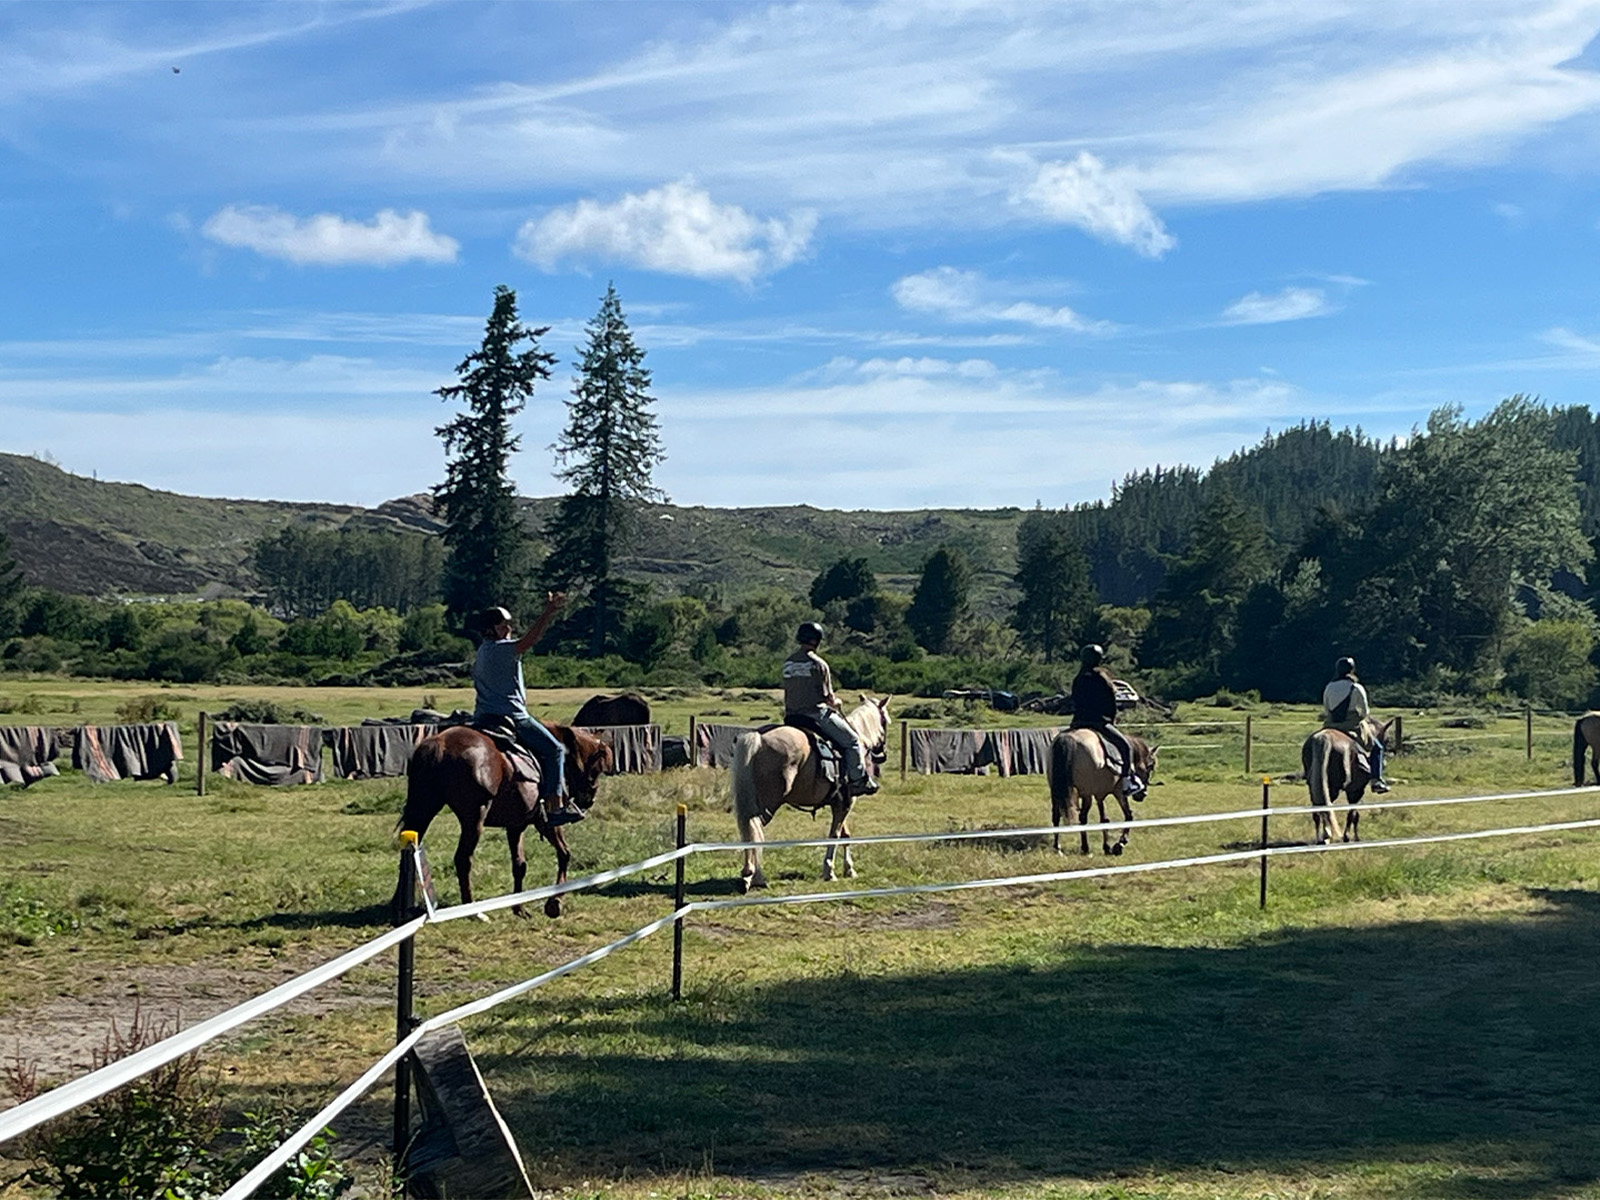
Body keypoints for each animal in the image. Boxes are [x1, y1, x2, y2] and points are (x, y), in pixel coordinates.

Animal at [394, 722, 612, 919]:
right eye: (598, 768)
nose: (588, 800)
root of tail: (440, 743)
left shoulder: (515, 826)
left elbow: (520, 865)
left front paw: (519, 908)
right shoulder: (547, 821)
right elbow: (564, 854)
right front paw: (554, 902)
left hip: (423, 810)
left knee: (408, 854)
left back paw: (399, 905)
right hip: (473, 818)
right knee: (463, 859)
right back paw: (472, 911)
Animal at [729, 696, 892, 894]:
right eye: (885, 721)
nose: (882, 754)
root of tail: (758, 738)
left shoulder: (839, 801)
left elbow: (845, 835)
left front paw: (849, 869)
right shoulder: (847, 802)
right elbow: (834, 835)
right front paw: (829, 871)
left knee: (749, 830)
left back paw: (748, 875)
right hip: (768, 804)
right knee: (755, 829)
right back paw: (756, 876)